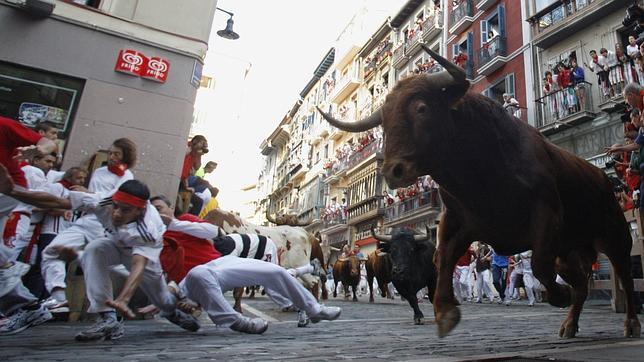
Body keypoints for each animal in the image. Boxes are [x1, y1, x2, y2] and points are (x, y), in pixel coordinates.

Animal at [320, 43, 640, 340]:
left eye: (422, 108)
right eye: (384, 123)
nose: (392, 170)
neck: (480, 170)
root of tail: (600, 175)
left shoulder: (546, 214)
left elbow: (537, 263)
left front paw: (559, 295)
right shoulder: (458, 222)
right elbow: (443, 260)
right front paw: (446, 312)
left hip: (615, 235)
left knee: (623, 274)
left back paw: (630, 323)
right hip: (571, 247)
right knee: (582, 282)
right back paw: (570, 325)